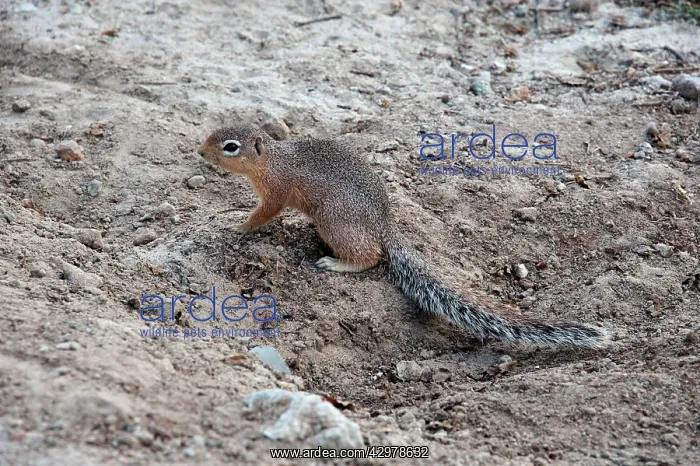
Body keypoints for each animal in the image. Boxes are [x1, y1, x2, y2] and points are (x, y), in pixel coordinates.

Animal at [197, 125, 610, 349]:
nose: (199, 151)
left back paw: (336, 263)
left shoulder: (277, 190)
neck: (271, 160)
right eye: (214, 132)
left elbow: (264, 213)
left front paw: (238, 226)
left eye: (230, 146)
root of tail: (384, 225)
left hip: (334, 222)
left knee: (372, 257)